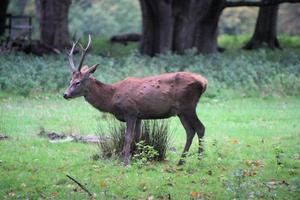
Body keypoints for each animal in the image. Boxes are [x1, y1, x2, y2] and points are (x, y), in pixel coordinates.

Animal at [63, 35, 207, 166]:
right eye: (70, 81)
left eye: (77, 82)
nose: (65, 94)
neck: (112, 98)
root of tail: (204, 82)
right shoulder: (139, 115)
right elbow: (139, 137)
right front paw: (139, 159)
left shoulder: (130, 111)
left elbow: (128, 137)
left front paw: (126, 162)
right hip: (181, 111)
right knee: (190, 131)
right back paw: (181, 162)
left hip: (189, 105)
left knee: (200, 128)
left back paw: (200, 160)